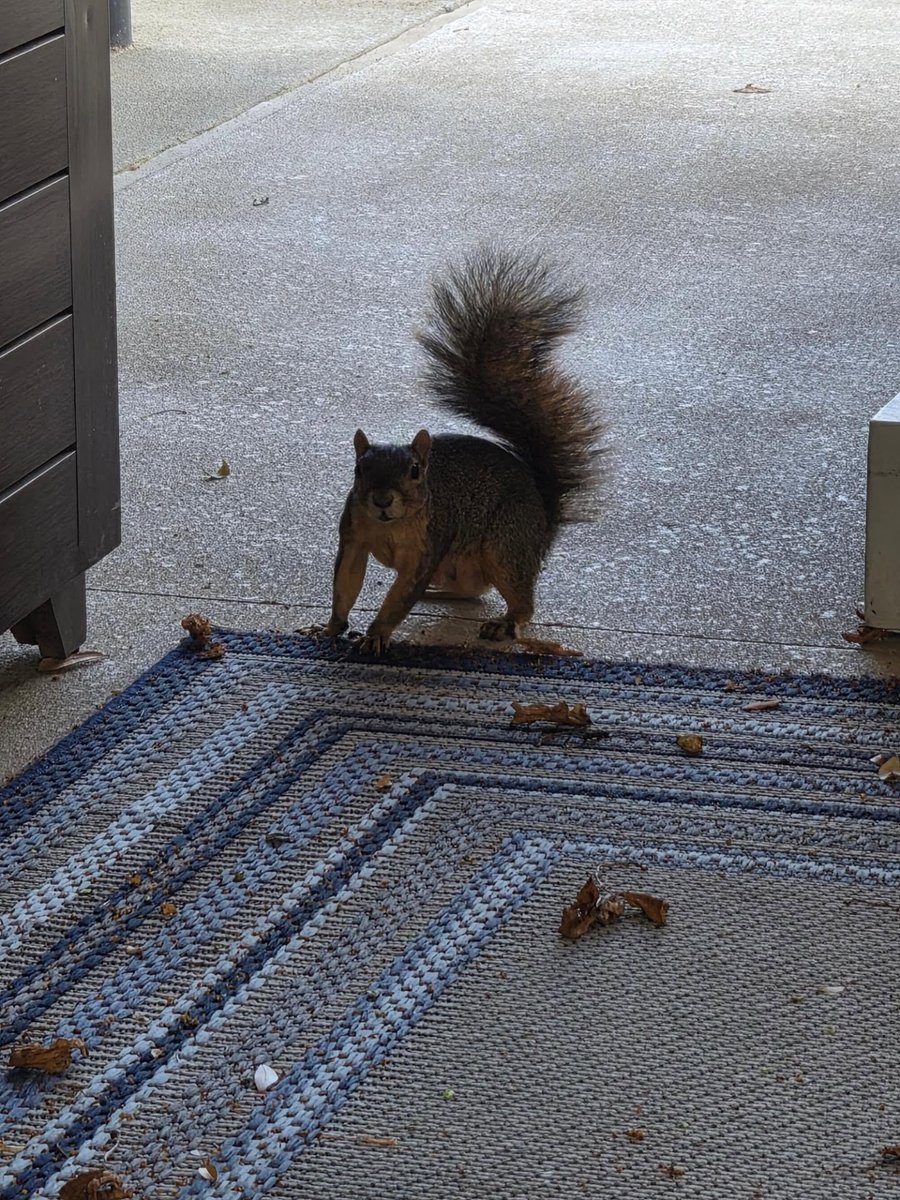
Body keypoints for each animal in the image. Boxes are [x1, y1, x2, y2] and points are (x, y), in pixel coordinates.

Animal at [323, 247, 605, 655]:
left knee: (519, 601)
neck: (391, 525)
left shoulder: (427, 548)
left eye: (415, 471)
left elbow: (400, 597)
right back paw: (439, 594)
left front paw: (377, 633)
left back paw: (503, 623)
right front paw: (330, 627)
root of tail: (544, 520)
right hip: (458, 563)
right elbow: (345, 583)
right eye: (359, 470)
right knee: (472, 590)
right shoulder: (353, 535)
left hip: (506, 542)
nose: (381, 500)